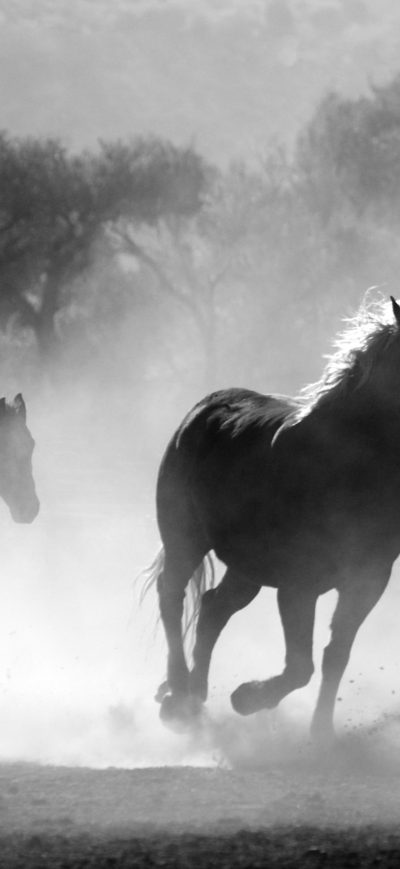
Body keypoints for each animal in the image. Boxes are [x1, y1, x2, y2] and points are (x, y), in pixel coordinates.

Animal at [144, 295, 400, 744]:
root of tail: (202, 409)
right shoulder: (299, 585)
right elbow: (301, 665)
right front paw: (247, 698)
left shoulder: (368, 579)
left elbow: (335, 656)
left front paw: (321, 735)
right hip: (185, 540)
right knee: (172, 596)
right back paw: (177, 695)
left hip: (247, 567)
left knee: (213, 609)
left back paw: (194, 698)